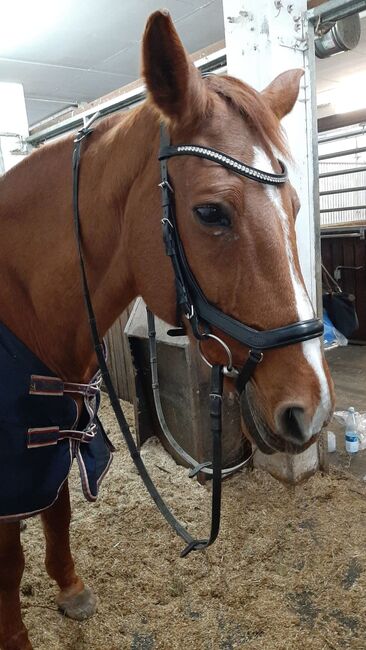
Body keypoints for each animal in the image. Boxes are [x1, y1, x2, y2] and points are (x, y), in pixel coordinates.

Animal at [0, 10, 334, 648]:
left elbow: (58, 505)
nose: (313, 407)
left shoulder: (58, 426)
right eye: (210, 213)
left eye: (297, 209)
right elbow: (10, 558)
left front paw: (70, 588)